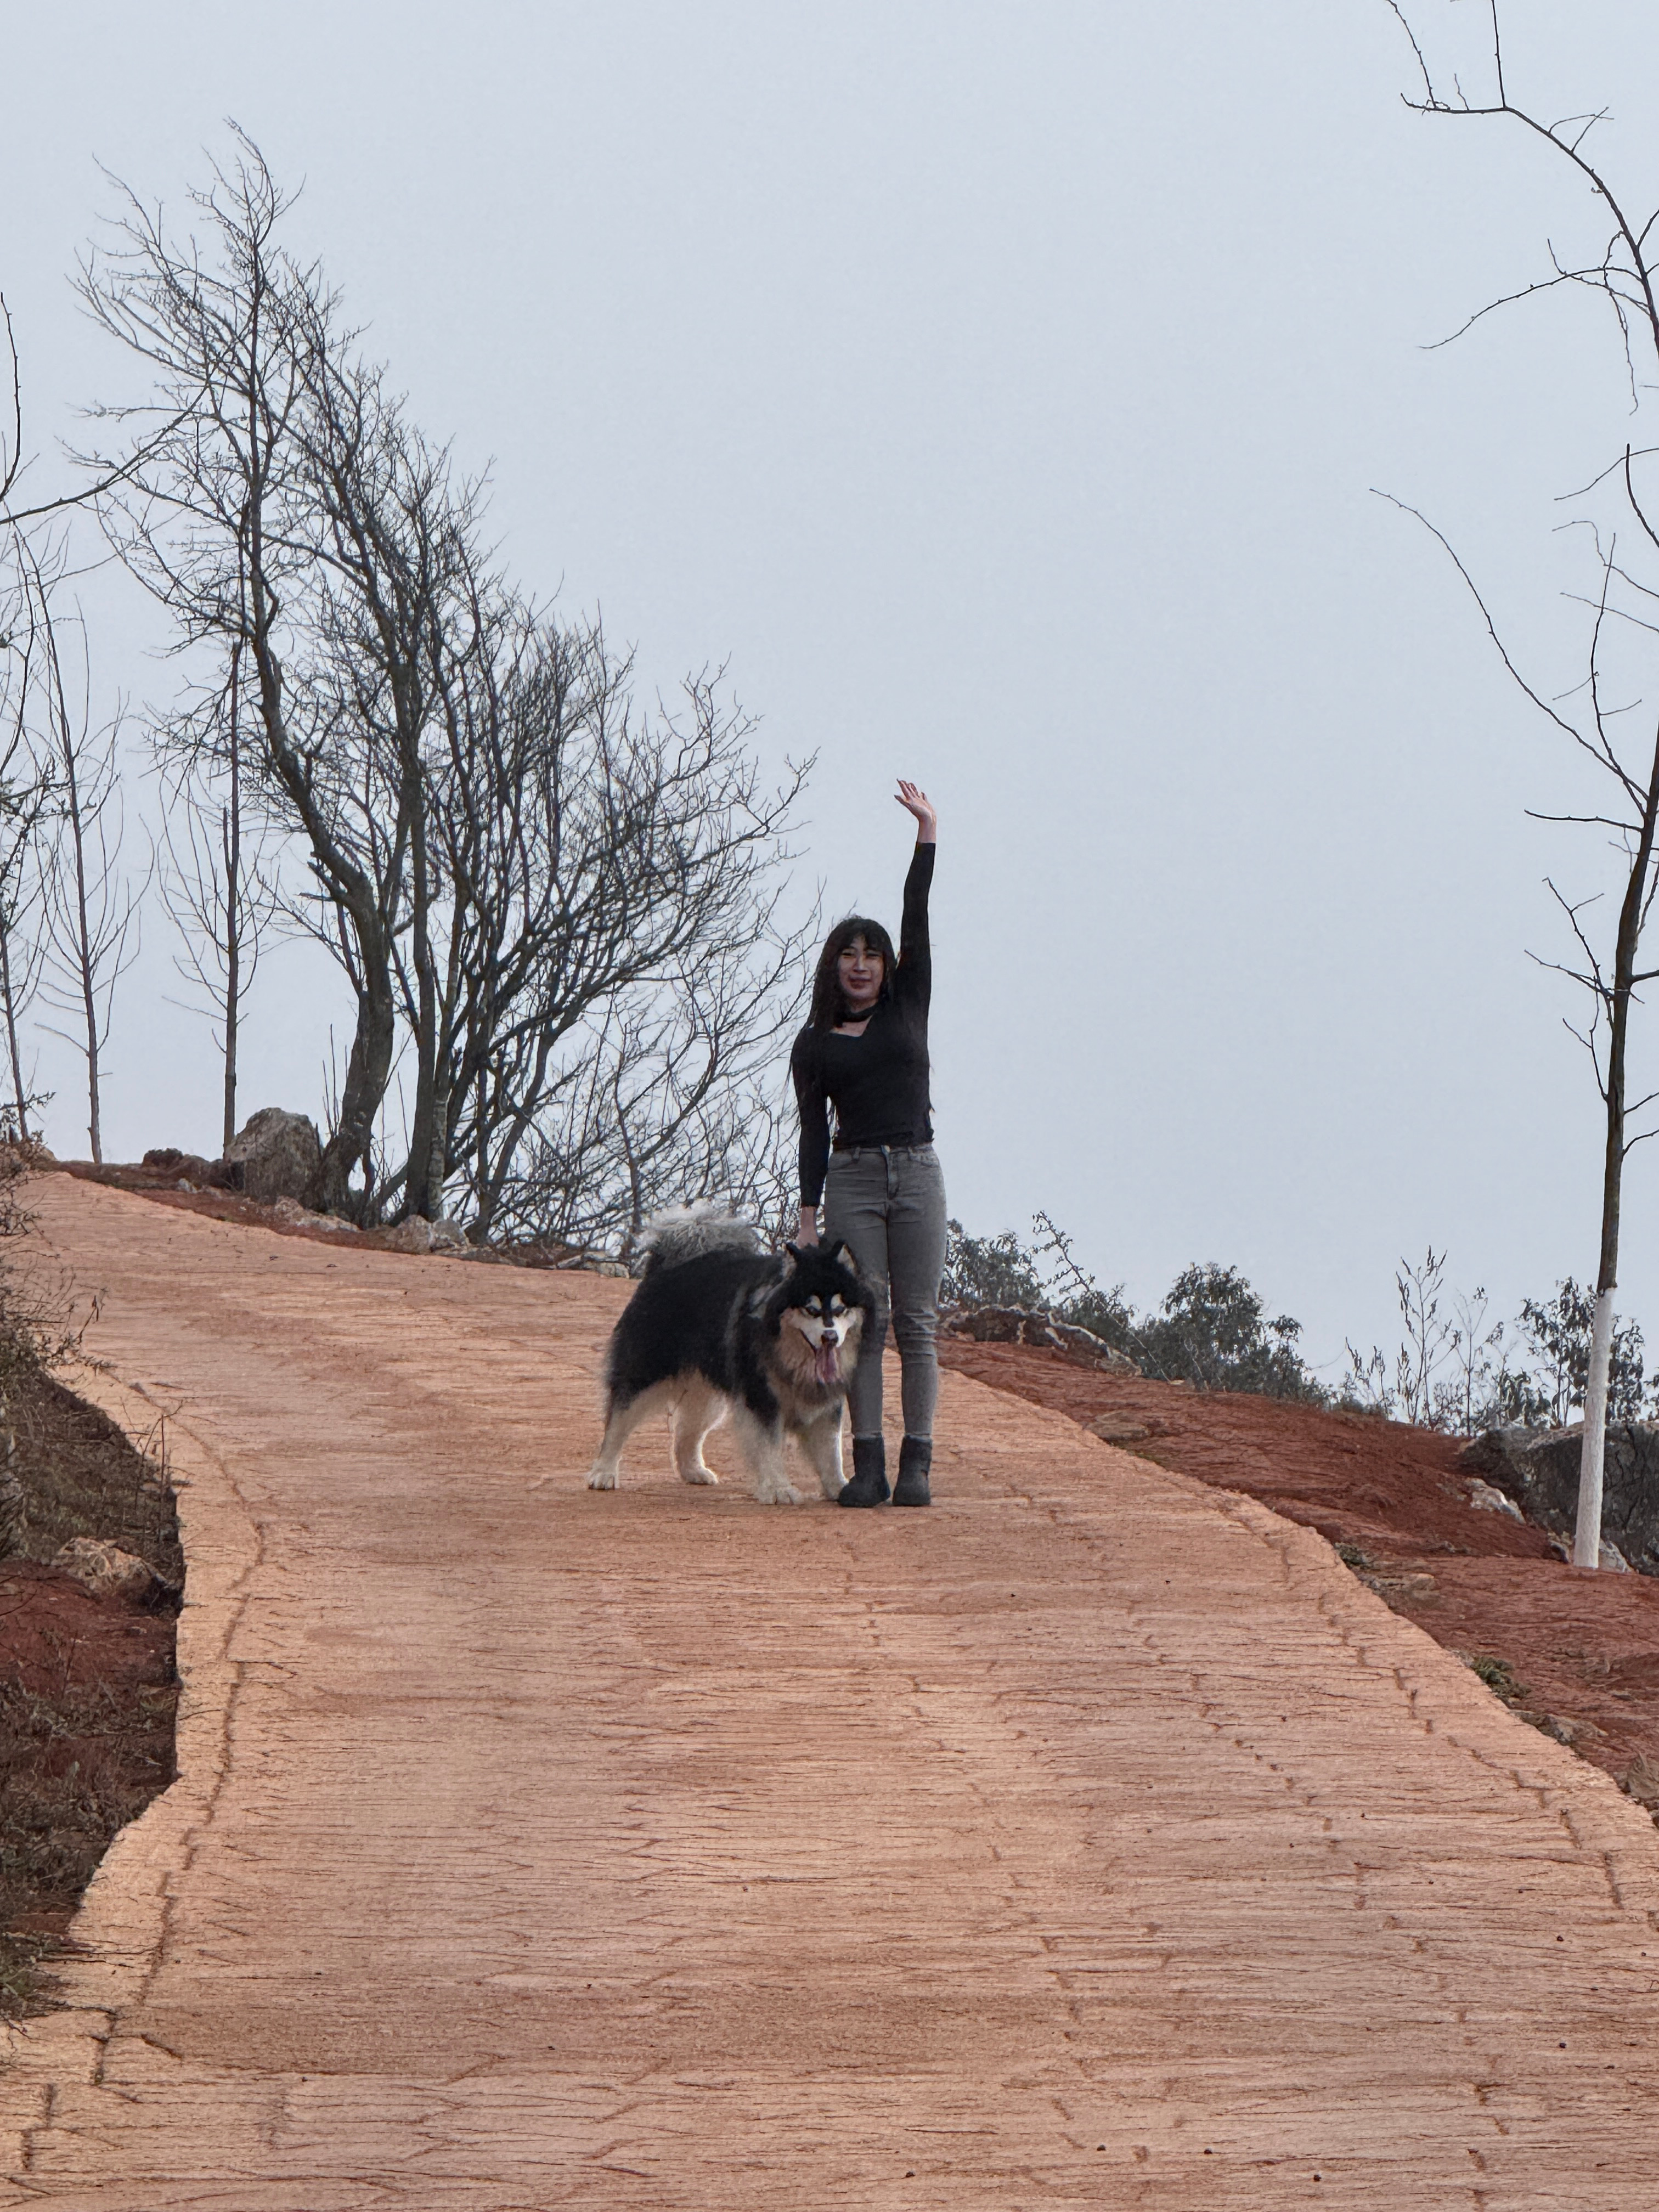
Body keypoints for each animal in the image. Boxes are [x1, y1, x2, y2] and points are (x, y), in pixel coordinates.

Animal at [588, 1212, 876, 1504]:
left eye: (840, 1309)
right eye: (811, 1310)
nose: (830, 1338)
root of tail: (664, 1266)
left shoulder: (825, 1403)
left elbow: (831, 1451)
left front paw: (840, 1487)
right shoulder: (760, 1398)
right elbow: (769, 1447)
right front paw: (778, 1488)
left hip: (706, 1395)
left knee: (685, 1432)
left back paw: (693, 1471)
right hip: (645, 1374)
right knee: (618, 1422)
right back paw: (603, 1473)